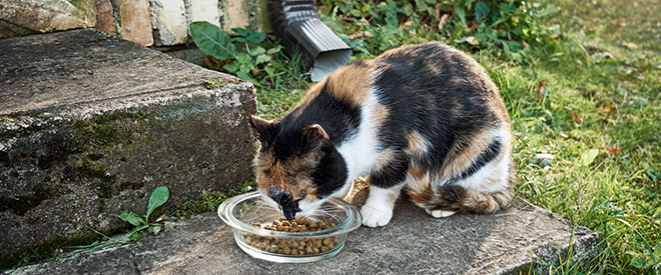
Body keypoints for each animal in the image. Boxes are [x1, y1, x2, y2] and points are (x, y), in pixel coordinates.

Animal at [250, 42, 512, 229]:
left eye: (299, 198)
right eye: (273, 197)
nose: (288, 218)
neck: (347, 112)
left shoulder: (400, 150)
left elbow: (386, 183)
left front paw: (375, 211)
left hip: (478, 149)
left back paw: (443, 205)